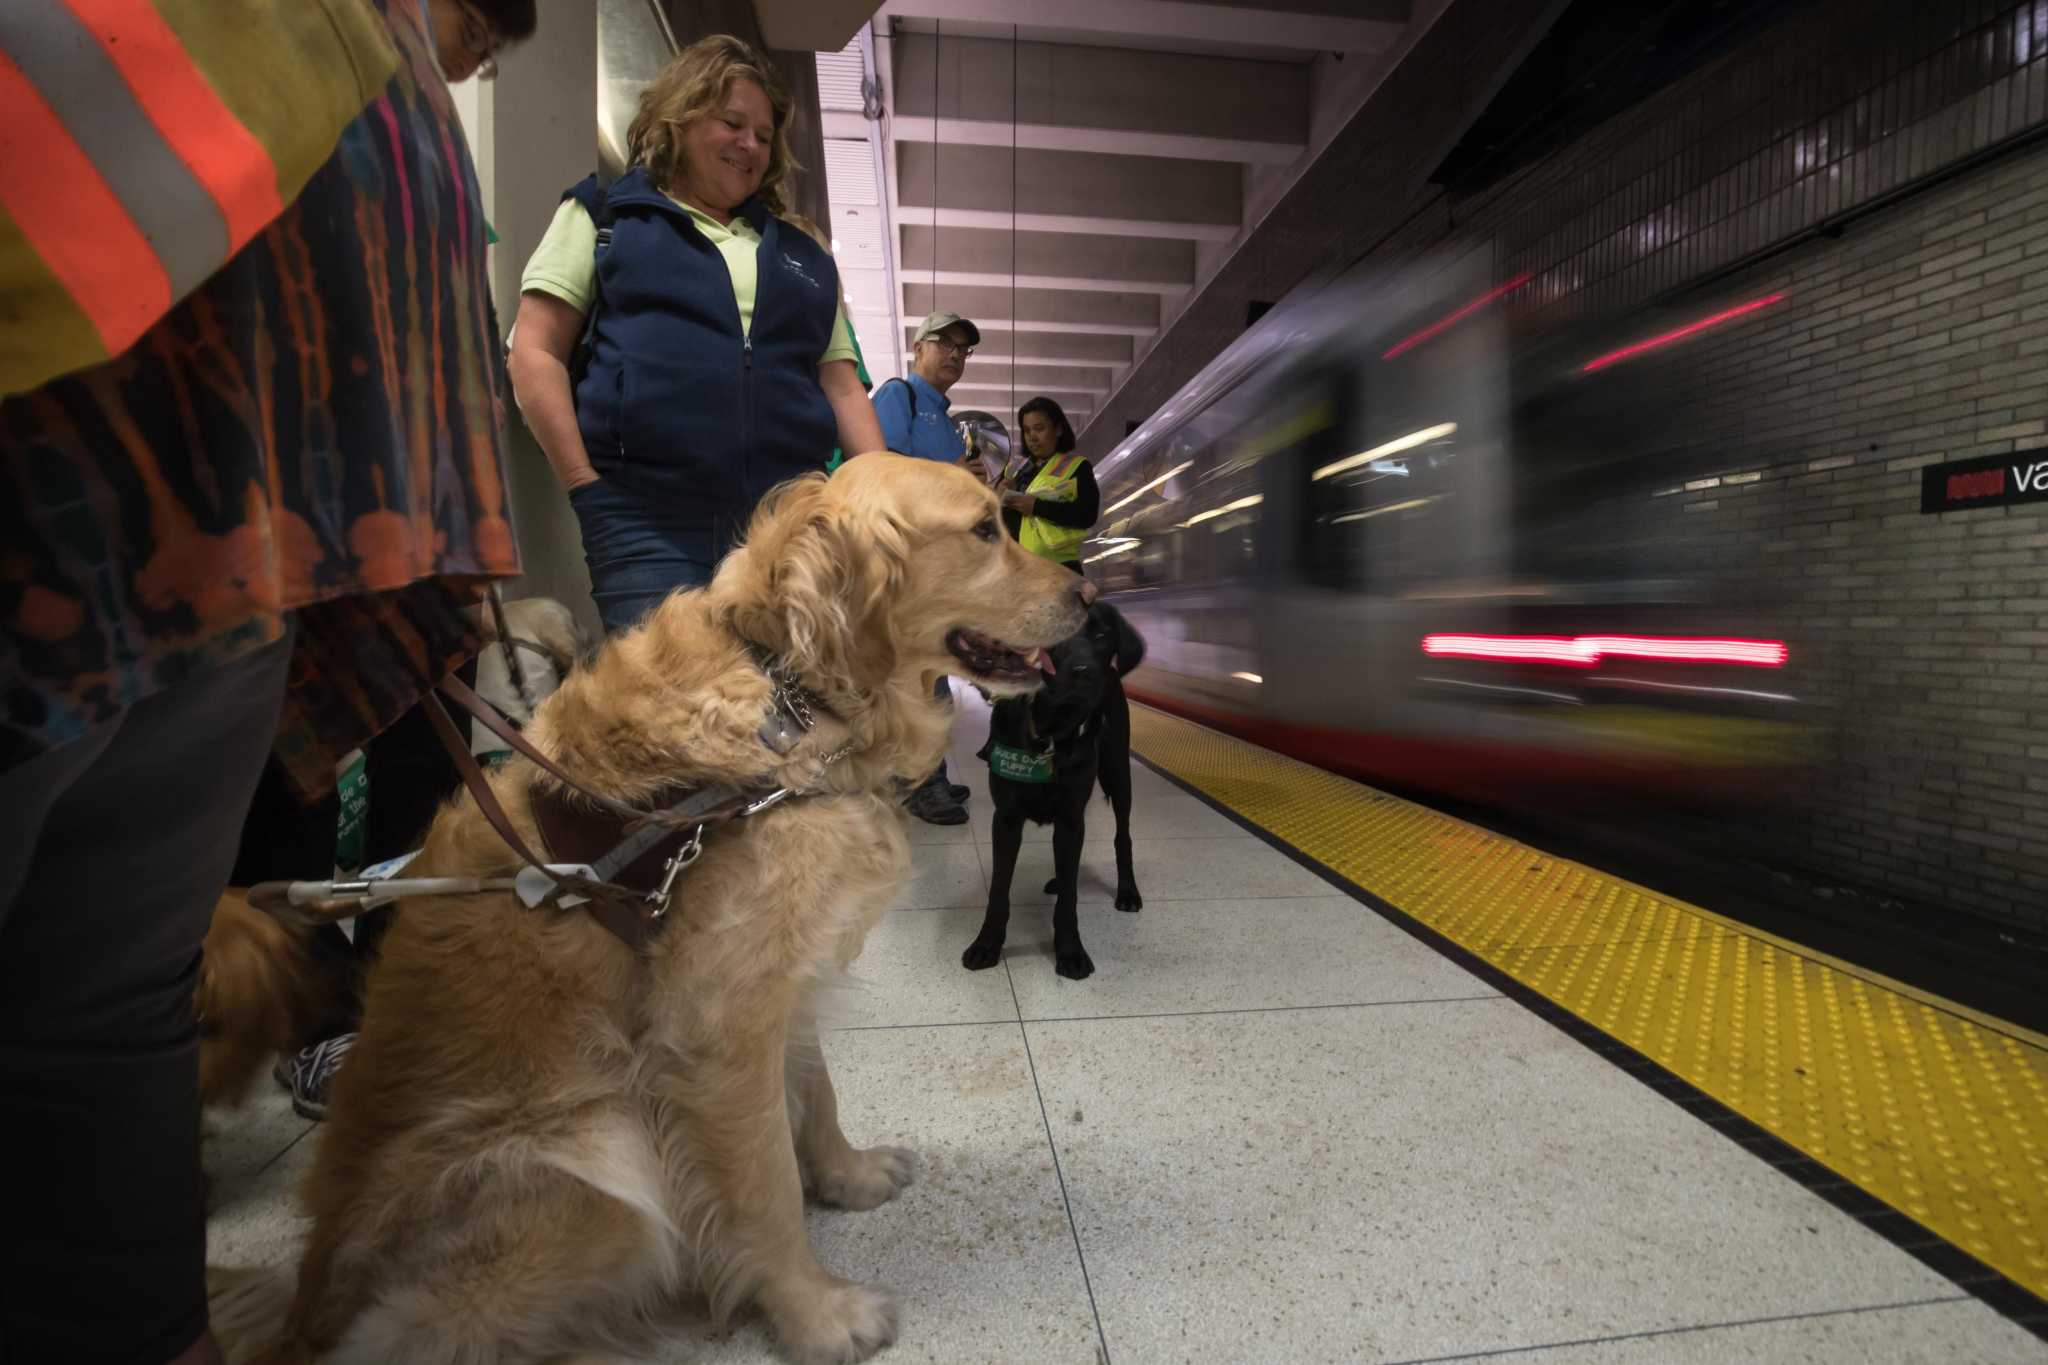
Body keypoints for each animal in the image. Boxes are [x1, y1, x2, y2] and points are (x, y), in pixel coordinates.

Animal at [211, 456, 1089, 1365]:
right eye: (984, 529)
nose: (1091, 594)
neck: (793, 697)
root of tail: (302, 1313)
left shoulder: (778, 977)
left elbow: (817, 1092)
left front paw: (846, 1176)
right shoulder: (716, 1028)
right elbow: (765, 1187)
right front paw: (816, 1314)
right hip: (605, 1155)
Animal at [962, 601, 1146, 978]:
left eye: (1102, 634)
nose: (1085, 672)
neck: (1049, 731)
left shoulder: (1072, 817)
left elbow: (1069, 901)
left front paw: (1070, 951)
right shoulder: (1006, 819)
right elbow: (999, 889)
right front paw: (987, 945)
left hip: (1118, 773)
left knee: (1122, 836)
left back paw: (1127, 891)